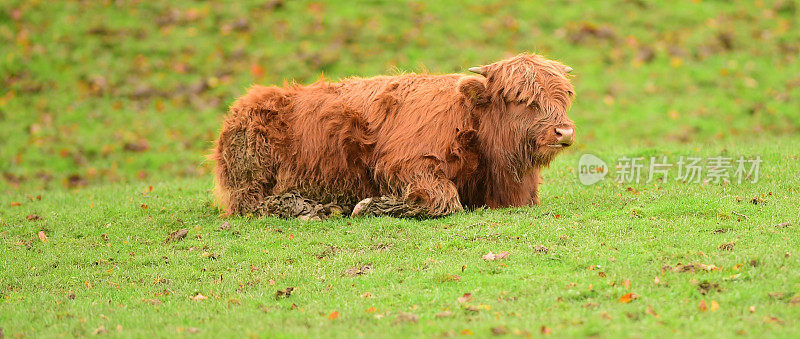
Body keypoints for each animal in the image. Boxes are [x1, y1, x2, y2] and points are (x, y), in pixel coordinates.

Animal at [212, 51, 576, 219]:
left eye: (564, 96)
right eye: (520, 98)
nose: (565, 131)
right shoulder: (405, 163)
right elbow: (445, 200)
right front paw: (370, 206)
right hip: (254, 169)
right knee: (251, 202)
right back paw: (306, 207)